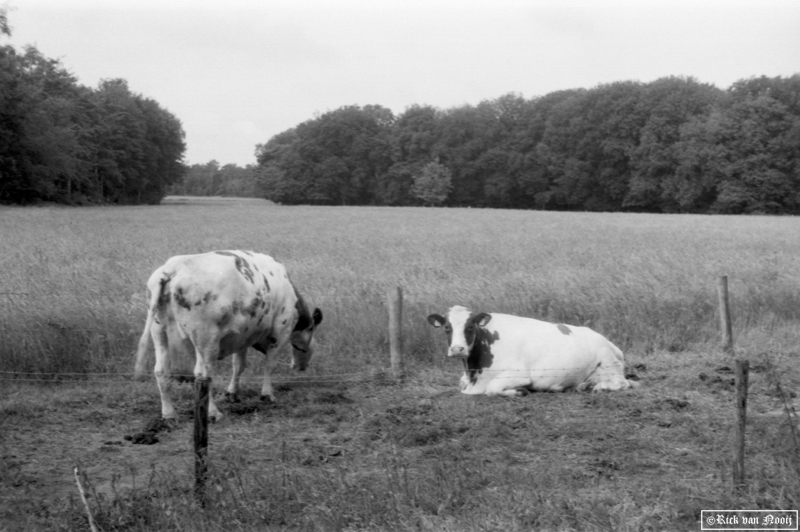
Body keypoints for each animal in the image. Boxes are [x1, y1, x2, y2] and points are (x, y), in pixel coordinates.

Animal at [134, 249, 322, 420]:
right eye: (312, 330)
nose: (301, 366)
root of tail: (172, 268)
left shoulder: (243, 336)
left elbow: (238, 365)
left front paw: (233, 393)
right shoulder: (281, 330)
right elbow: (270, 364)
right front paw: (267, 394)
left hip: (159, 332)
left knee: (161, 371)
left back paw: (169, 414)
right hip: (206, 340)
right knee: (203, 375)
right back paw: (213, 412)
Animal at [424, 306, 636, 396]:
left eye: (470, 327)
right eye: (447, 328)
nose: (457, 349)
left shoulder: (518, 374)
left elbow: (492, 389)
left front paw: (519, 391)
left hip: (608, 363)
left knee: (622, 383)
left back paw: (599, 387)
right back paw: (584, 385)